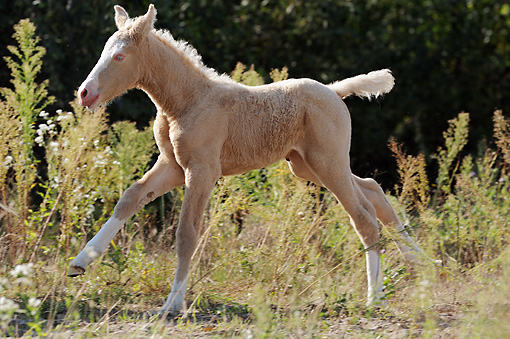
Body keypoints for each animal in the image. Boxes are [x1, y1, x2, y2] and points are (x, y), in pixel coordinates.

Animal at [69, 5, 424, 314]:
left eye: (119, 56)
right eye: (104, 51)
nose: (84, 93)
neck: (186, 102)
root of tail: (334, 91)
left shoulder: (202, 170)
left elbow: (186, 233)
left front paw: (174, 302)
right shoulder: (172, 166)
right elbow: (130, 198)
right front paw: (80, 263)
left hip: (328, 162)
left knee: (363, 216)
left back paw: (375, 296)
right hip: (306, 165)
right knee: (373, 191)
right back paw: (417, 263)